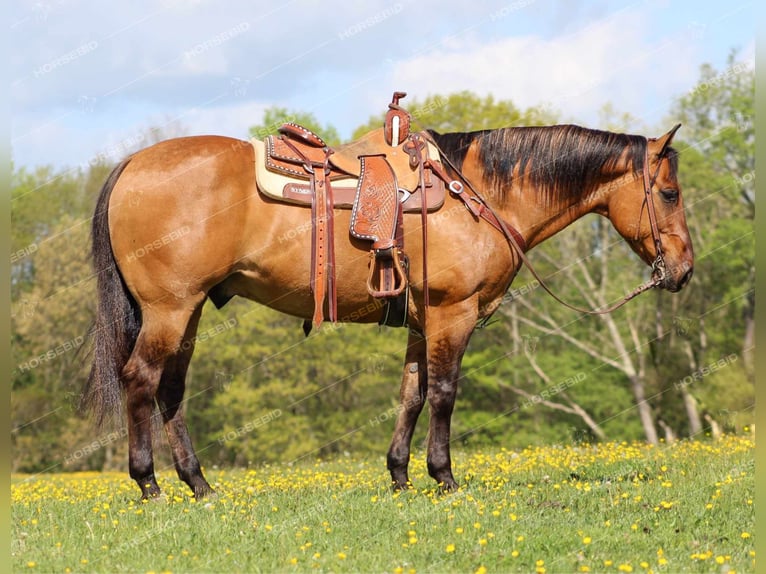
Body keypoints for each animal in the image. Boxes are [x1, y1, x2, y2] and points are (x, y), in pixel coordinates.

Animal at [82, 101, 696, 502]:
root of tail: (132, 164)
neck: (479, 194)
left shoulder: (423, 322)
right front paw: (444, 477)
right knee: (141, 380)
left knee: (171, 391)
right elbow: (444, 394)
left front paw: (400, 474)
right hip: (169, 310)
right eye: (669, 193)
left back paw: (199, 484)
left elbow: (412, 394)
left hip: (187, 313)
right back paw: (149, 484)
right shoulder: (453, 314)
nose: (684, 270)